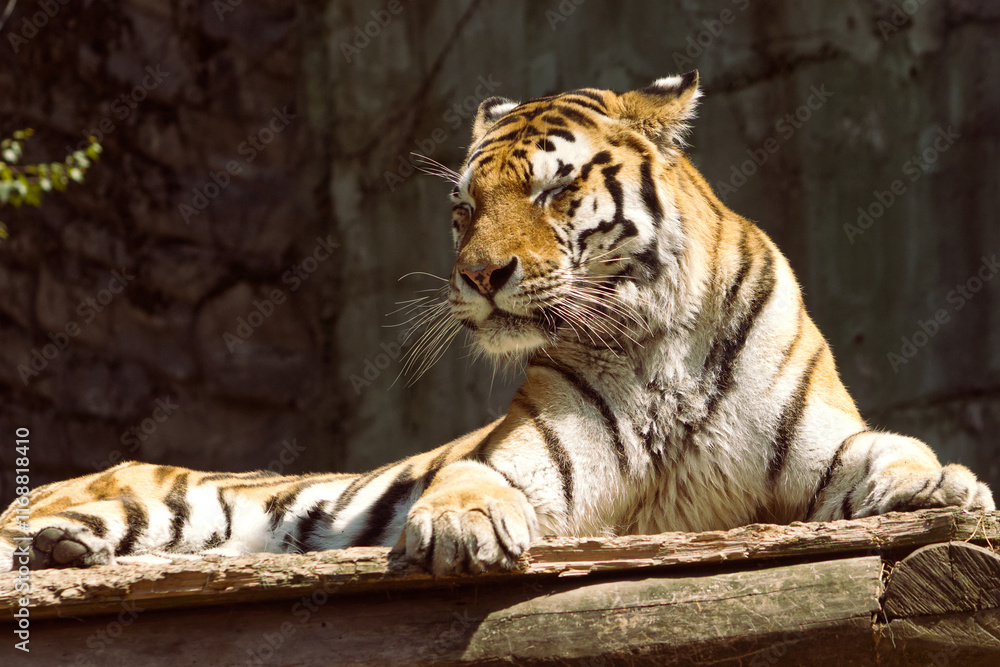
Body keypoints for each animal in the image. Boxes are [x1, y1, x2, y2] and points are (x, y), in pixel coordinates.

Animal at [2, 71, 993, 578]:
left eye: (554, 190)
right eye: (464, 207)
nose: (480, 275)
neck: (658, 337)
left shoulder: (822, 439)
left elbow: (897, 450)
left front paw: (947, 486)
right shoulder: (532, 461)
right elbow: (473, 480)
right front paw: (459, 529)